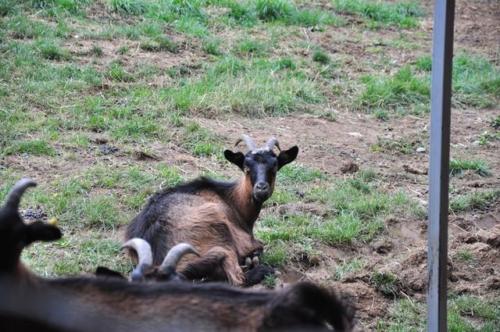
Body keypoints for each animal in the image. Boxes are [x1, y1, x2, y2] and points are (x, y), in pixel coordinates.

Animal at [127, 135, 298, 286]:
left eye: (274, 167)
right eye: (246, 167)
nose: (261, 188)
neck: (231, 199)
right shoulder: (244, 241)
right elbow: (259, 247)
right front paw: (252, 259)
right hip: (218, 233)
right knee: (237, 279)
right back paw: (263, 270)